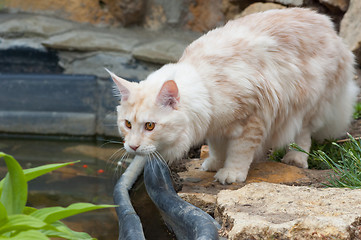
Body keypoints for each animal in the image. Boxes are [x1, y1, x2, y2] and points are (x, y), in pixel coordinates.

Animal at [107, 7, 358, 184]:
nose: (133, 147)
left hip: (306, 107)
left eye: (150, 126)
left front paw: (231, 173)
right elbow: (217, 147)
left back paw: (296, 158)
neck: (206, 87)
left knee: (303, 136)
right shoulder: (215, 126)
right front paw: (215, 164)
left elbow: (239, 152)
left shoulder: (251, 120)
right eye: (127, 124)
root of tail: (328, 25)